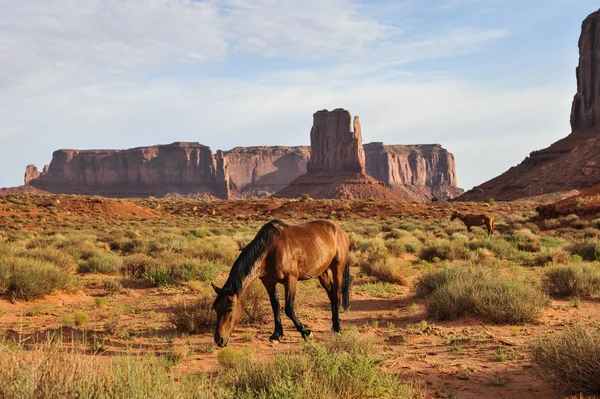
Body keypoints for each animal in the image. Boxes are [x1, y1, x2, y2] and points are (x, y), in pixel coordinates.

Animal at [212, 220, 350, 348]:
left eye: (229, 309)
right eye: (216, 309)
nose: (219, 340)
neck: (270, 249)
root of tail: (340, 230)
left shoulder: (290, 280)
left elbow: (288, 308)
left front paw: (306, 332)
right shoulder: (268, 282)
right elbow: (275, 306)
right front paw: (276, 334)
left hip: (337, 268)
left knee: (336, 293)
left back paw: (337, 328)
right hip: (322, 272)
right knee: (331, 293)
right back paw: (334, 325)